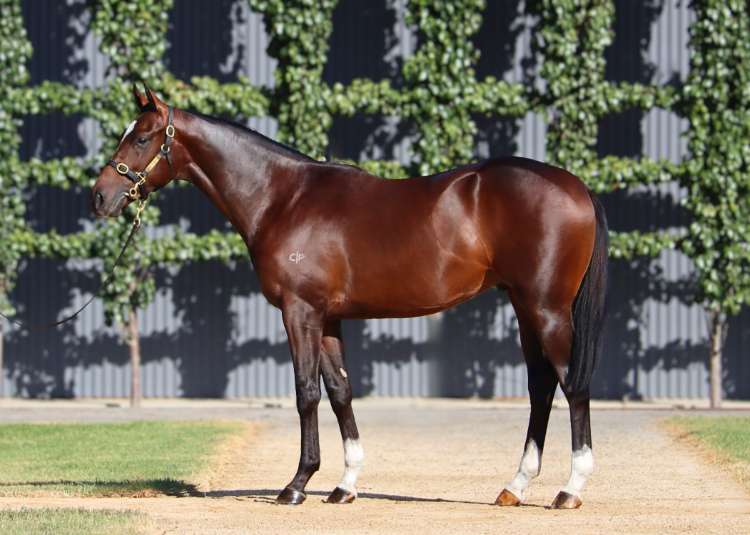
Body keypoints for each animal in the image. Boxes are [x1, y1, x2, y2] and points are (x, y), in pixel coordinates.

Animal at [93, 86, 608, 509]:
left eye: (142, 139)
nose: (99, 197)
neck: (284, 198)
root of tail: (576, 186)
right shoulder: (328, 319)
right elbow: (340, 391)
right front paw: (344, 486)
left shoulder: (299, 312)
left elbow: (306, 392)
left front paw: (296, 485)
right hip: (524, 307)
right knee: (541, 387)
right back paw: (515, 487)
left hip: (546, 310)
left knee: (572, 384)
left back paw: (570, 490)